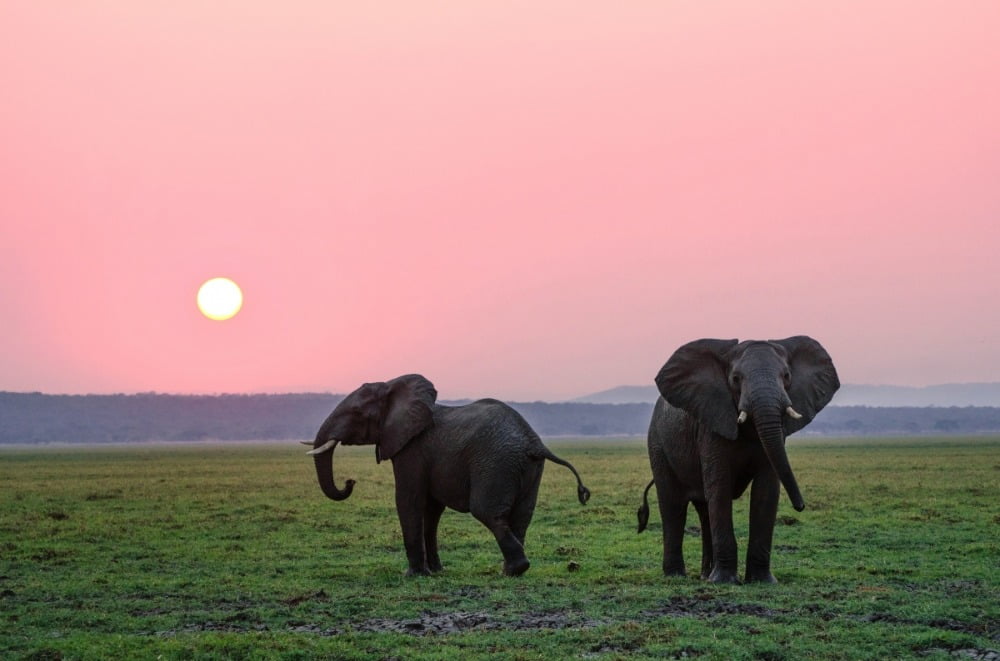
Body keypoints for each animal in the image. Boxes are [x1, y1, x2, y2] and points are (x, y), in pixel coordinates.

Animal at [300, 374, 588, 576]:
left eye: (356, 413)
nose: (349, 482)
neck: (393, 387)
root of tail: (533, 442)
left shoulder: (412, 449)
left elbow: (408, 500)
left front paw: (414, 575)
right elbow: (431, 509)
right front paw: (436, 572)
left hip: (495, 463)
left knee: (486, 511)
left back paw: (513, 570)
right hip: (527, 468)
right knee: (522, 516)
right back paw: (510, 570)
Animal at [636, 336, 840, 584]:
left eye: (786, 376)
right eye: (735, 379)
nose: (800, 506)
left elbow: (766, 490)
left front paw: (762, 581)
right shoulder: (711, 425)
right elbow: (720, 487)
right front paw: (724, 581)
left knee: (704, 510)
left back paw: (705, 575)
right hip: (658, 444)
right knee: (673, 505)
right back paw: (676, 576)